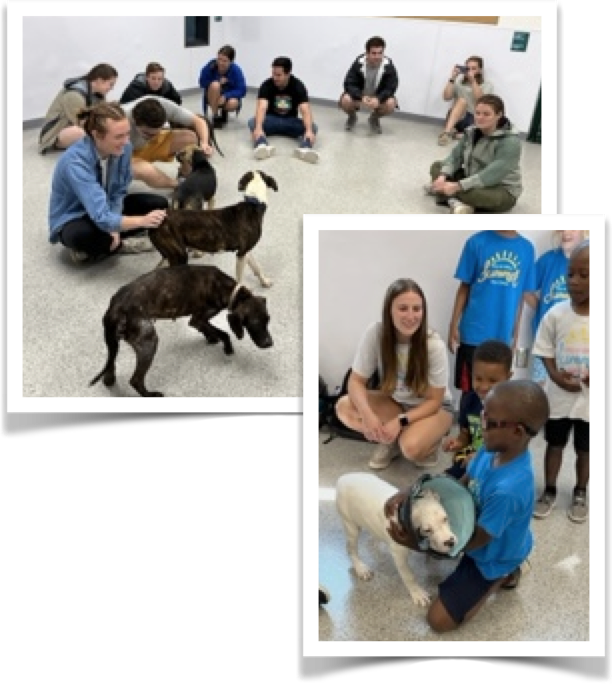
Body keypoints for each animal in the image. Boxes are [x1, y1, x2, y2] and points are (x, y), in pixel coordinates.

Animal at [89, 264, 274, 398]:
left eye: (268, 320)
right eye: (255, 324)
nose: (270, 343)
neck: (227, 288)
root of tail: (115, 307)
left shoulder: (196, 321)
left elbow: (210, 330)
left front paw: (211, 338)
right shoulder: (198, 318)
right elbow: (225, 333)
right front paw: (227, 347)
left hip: (114, 342)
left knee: (110, 365)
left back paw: (110, 379)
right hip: (148, 342)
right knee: (135, 380)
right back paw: (150, 395)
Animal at [334, 472, 460, 608]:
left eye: (445, 518)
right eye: (427, 530)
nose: (450, 542)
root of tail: (343, 477)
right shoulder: (399, 556)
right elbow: (409, 576)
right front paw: (417, 593)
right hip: (351, 527)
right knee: (351, 549)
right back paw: (360, 568)